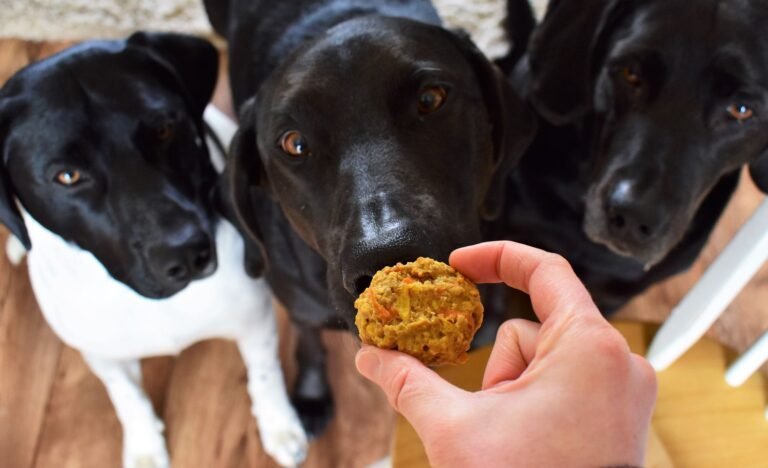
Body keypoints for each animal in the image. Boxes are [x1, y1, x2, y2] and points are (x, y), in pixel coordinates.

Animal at [0, 33, 306, 468]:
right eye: (67, 176)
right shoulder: (102, 354)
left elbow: (264, 374)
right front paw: (145, 449)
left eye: (163, 130)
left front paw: (280, 425)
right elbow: (129, 399)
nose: (186, 253)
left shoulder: (254, 319)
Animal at [206, 0, 536, 436]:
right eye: (294, 144)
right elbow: (308, 340)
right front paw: (311, 394)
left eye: (430, 98)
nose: (387, 252)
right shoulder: (300, 303)